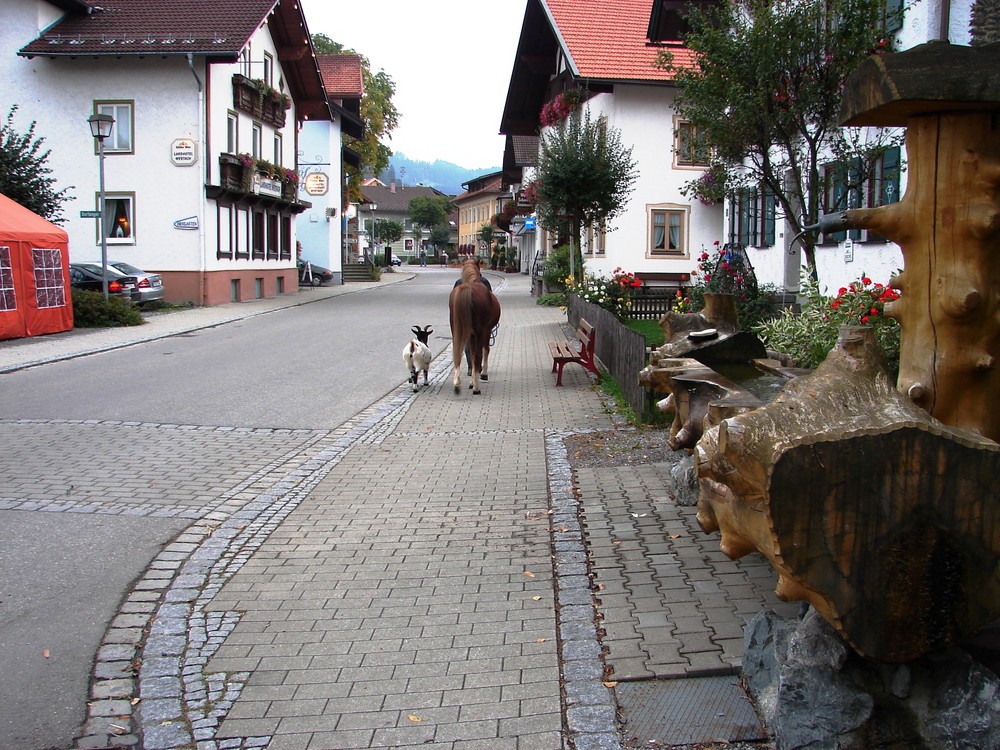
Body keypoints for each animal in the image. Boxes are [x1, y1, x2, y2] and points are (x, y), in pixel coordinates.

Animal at [452, 260, 504, 396]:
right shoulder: (486, 331)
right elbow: (485, 350)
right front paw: (483, 375)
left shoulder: (471, 334)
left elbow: (471, 354)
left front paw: (472, 382)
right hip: (481, 332)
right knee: (478, 355)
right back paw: (477, 388)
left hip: (457, 331)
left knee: (460, 354)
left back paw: (457, 385)